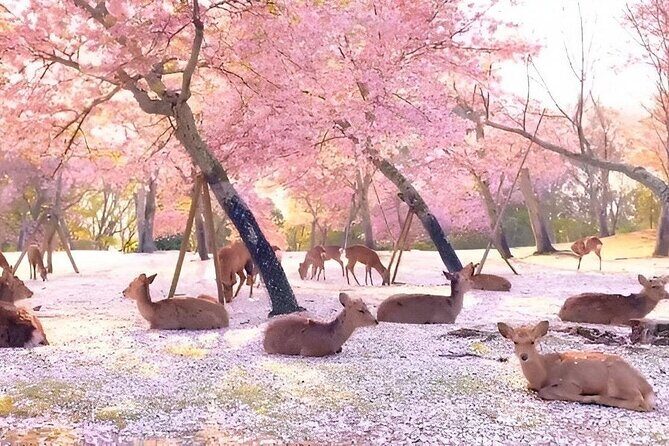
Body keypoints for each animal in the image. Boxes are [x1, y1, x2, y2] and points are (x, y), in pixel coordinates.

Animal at [497, 321, 655, 411]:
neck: (544, 373)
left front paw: (584, 398)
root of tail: (647, 387)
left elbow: (545, 392)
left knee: (639, 401)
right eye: (515, 342)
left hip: (619, 382)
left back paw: (596, 398)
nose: (524, 356)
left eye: (532, 341)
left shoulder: (572, 384)